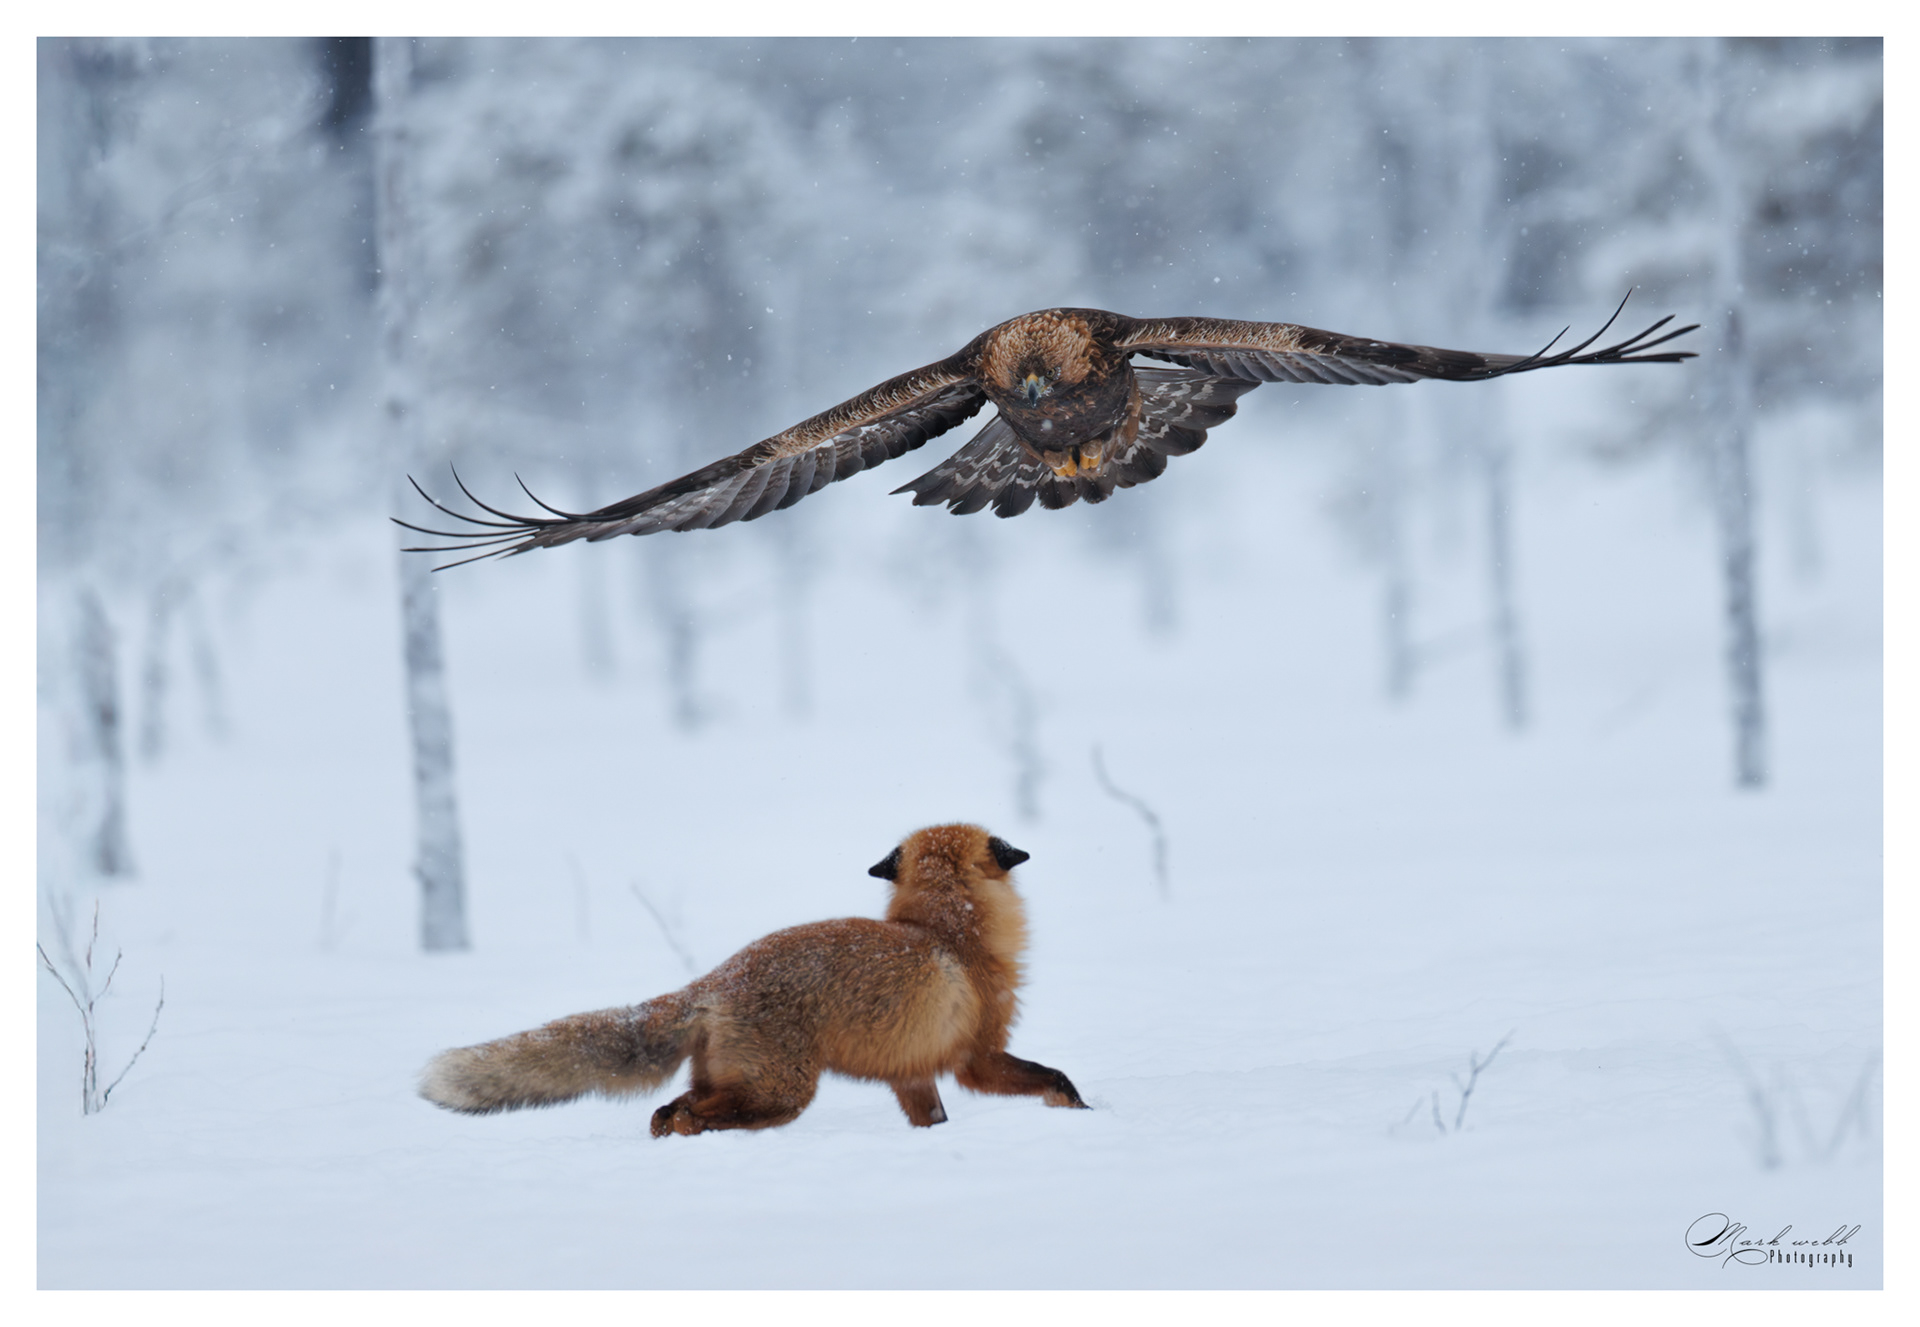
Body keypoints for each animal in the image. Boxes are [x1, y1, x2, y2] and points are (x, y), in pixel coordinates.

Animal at [419, 823, 1088, 1135]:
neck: (950, 931)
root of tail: (715, 980)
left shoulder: (912, 1071)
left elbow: (933, 1121)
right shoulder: (977, 1057)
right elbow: (1056, 1077)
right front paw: (1085, 1113)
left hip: (738, 1081)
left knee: (667, 1111)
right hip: (781, 1093)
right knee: (687, 1114)